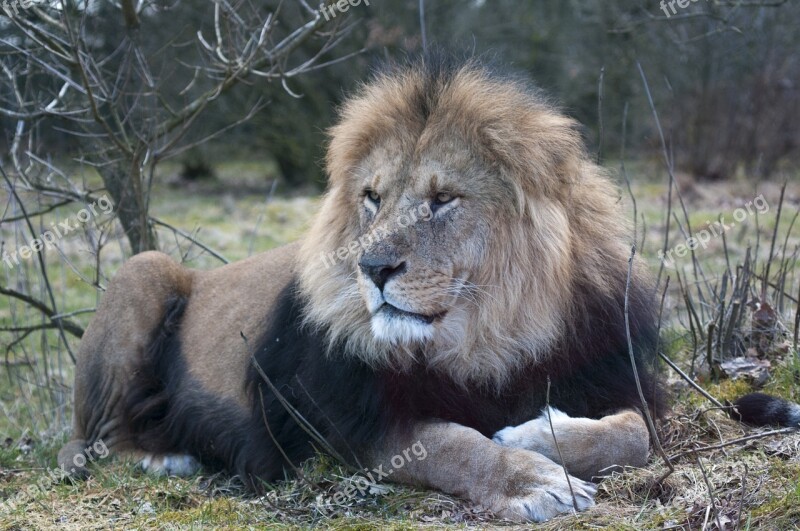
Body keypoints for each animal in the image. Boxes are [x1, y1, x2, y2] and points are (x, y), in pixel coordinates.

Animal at [57, 53, 780, 524]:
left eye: (442, 199)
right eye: (372, 198)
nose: (372, 267)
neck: (485, 335)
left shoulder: (613, 375)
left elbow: (631, 432)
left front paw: (531, 432)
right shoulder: (339, 423)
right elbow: (450, 442)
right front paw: (531, 479)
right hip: (145, 268)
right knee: (91, 439)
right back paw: (163, 459)